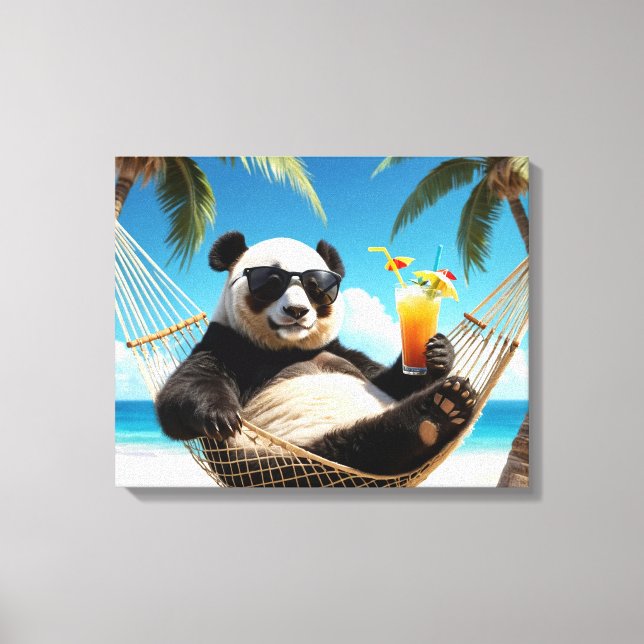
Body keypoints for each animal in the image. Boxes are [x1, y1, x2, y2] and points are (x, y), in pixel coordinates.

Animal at [155, 231, 477, 485]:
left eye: (317, 288)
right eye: (270, 283)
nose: (297, 311)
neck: (289, 349)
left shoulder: (341, 351)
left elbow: (388, 381)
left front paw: (438, 354)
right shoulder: (228, 343)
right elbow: (183, 392)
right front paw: (219, 415)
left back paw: (451, 403)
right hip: (293, 460)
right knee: (365, 447)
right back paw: (436, 413)